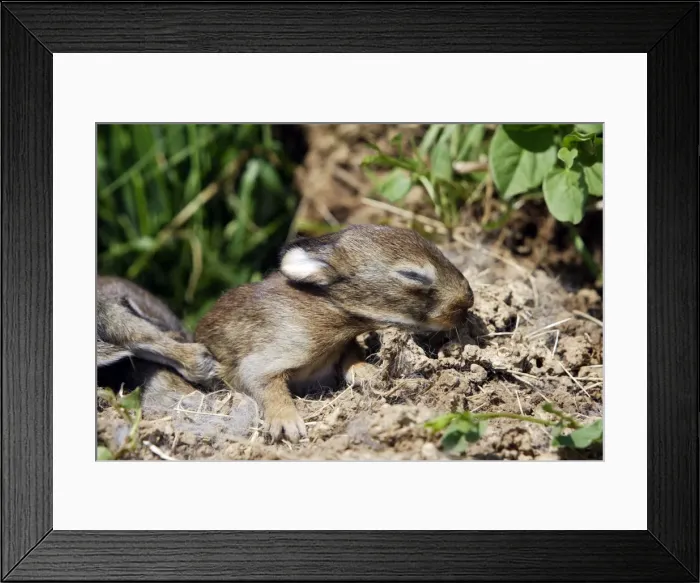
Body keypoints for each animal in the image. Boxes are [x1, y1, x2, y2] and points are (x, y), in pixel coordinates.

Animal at [195, 224, 474, 443]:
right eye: (411, 275)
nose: (467, 299)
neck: (332, 306)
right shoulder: (274, 354)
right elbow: (265, 383)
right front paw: (287, 423)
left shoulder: (345, 344)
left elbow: (350, 359)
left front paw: (368, 373)